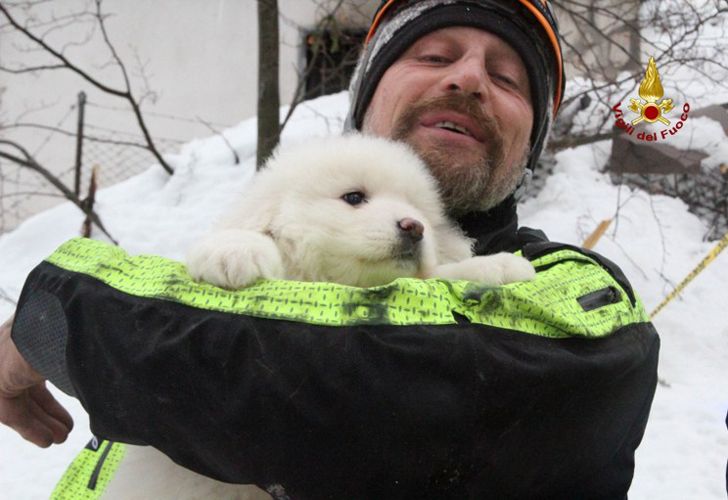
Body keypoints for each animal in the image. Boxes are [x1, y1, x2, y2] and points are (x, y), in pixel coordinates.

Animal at [102, 135, 536, 498]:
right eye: (354, 197)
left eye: (420, 213)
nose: (414, 227)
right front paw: (233, 251)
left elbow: (444, 274)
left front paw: (501, 267)